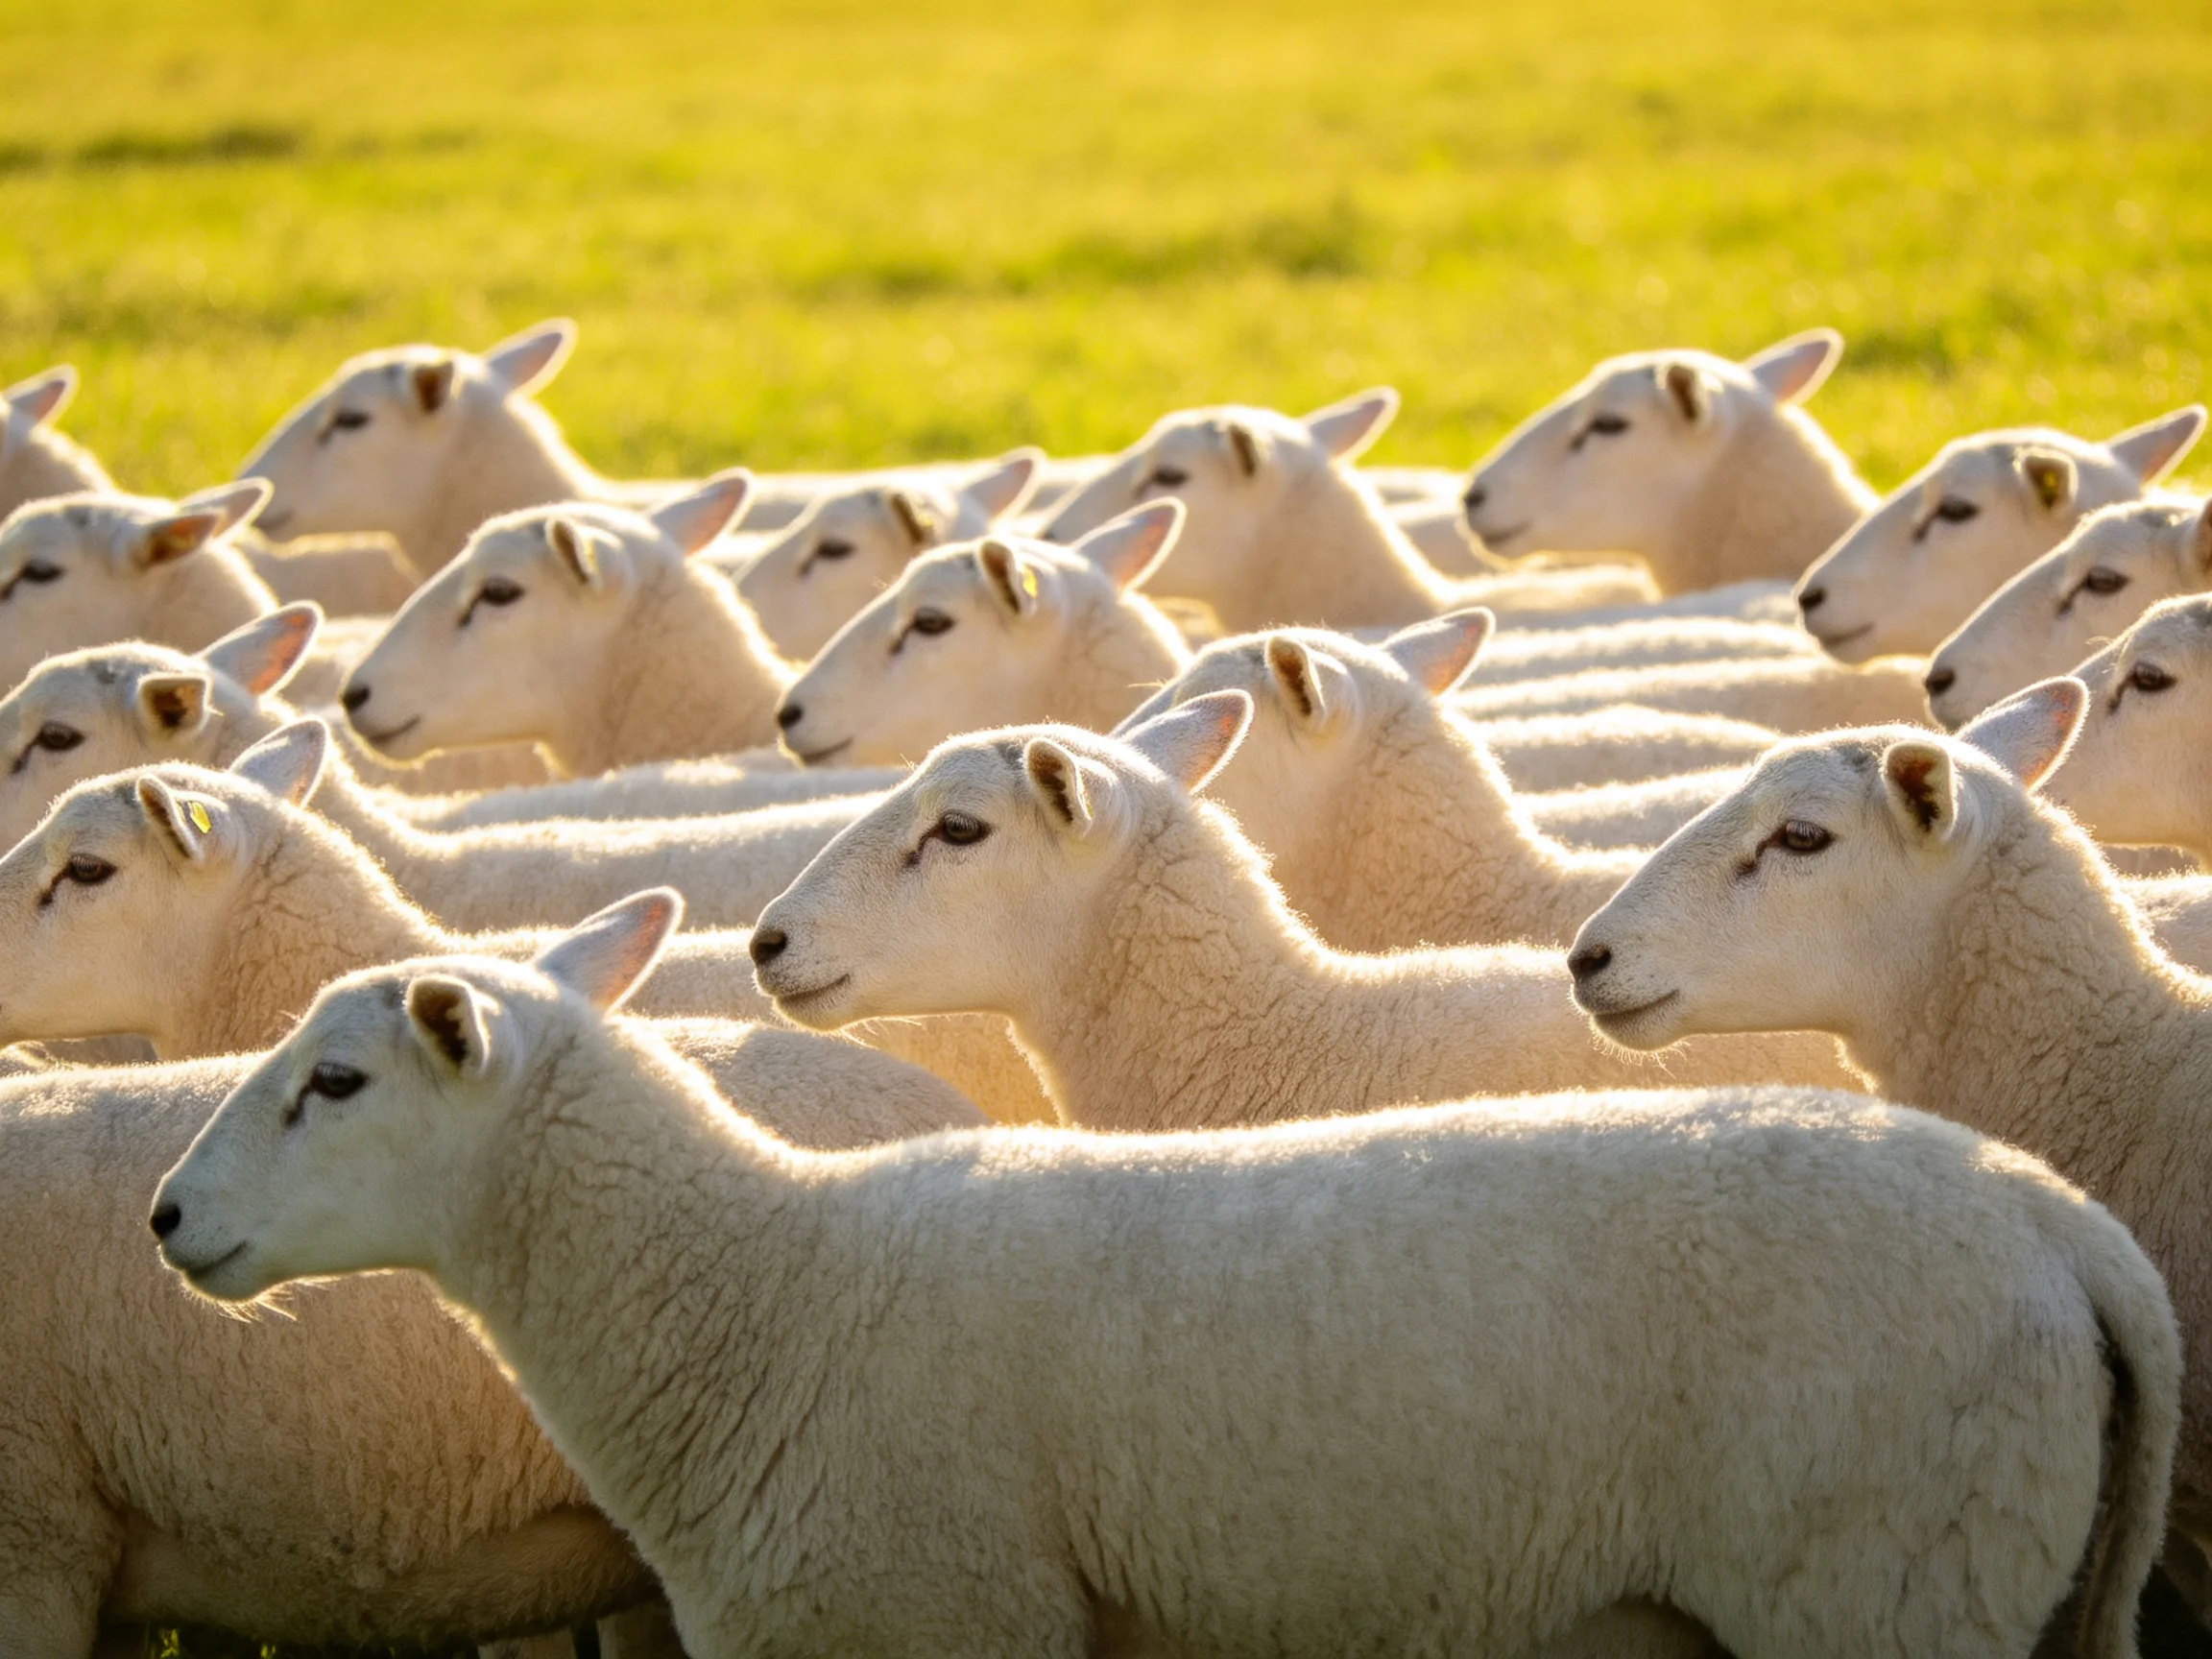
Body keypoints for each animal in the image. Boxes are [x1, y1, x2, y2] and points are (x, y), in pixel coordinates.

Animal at [156, 900, 2177, 1659]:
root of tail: (2058, 1229)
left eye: (336, 1082)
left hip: (1881, 1583)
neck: (768, 1290)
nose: (168, 1220)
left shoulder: (949, 1614)